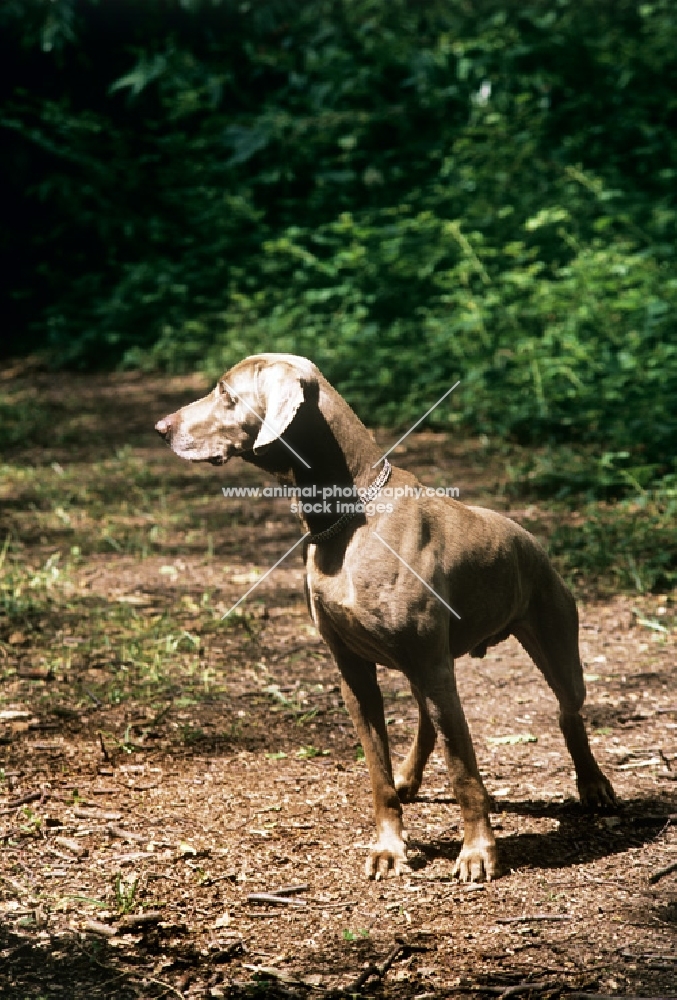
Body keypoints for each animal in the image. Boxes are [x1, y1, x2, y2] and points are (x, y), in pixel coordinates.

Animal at [156, 354, 616, 884]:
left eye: (226, 393)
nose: (161, 428)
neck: (348, 519)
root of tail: (530, 537)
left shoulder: (432, 667)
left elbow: (464, 770)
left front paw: (477, 853)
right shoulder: (354, 673)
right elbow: (378, 772)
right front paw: (389, 847)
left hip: (551, 643)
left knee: (567, 712)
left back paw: (594, 785)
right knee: (430, 723)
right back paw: (410, 779)